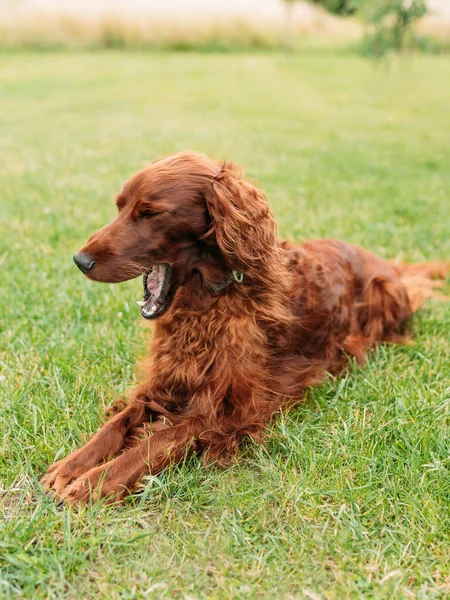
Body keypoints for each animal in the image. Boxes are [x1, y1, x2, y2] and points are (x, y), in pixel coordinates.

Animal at [40, 152, 448, 504]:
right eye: (120, 207)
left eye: (150, 212)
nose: (80, 260)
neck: (207, 304)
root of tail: (392, 267)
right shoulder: (168, 379)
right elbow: (117, 424)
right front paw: (72, 466)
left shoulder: (228, 413)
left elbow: (158, 441)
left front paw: (93, 484)